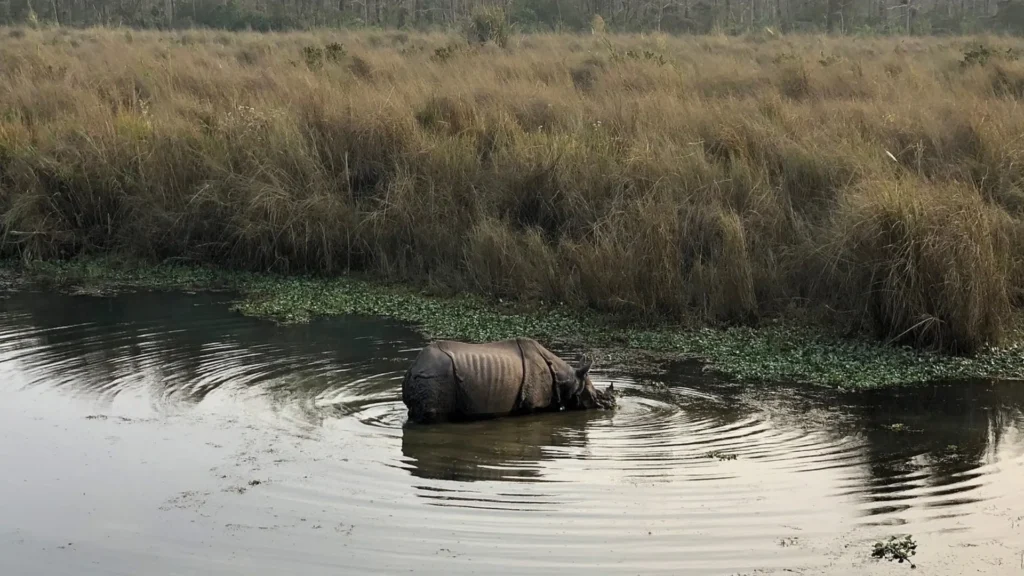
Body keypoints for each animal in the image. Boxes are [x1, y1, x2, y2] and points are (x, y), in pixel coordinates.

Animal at [401, 338, 616, 424]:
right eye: (596, 395)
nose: (613, 404)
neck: (569, 379)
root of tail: (412, 368)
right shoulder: (534, 404)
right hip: (435, 375)